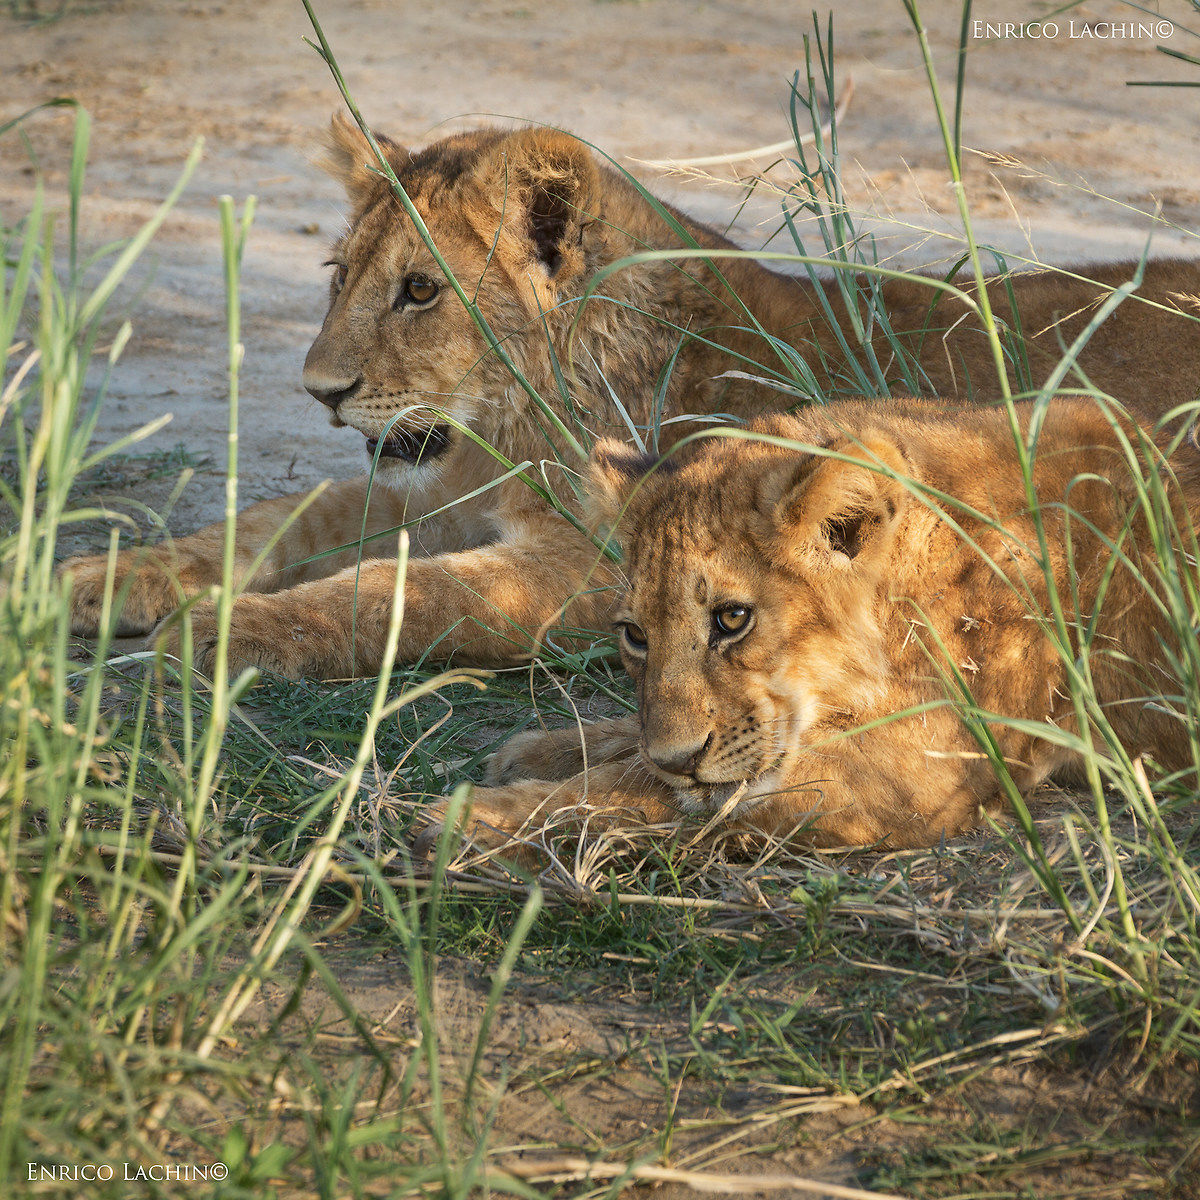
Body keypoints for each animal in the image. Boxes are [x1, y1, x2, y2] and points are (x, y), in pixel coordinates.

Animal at [61, 117, 1200, 678]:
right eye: (338, 277)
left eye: (420, 291)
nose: (320, 393)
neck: (516, 420)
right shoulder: (448, 490)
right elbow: (289, 513)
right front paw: (107, 578)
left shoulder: (600, 565)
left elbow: (397, 596)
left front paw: (222, 632)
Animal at [434, 397, 1199, 852]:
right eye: (636, 636)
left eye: (732, 619)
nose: (678, 759)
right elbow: (638, 747)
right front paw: (542, 749)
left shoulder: (920, 772)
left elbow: (649, 791)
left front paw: (474, 818)